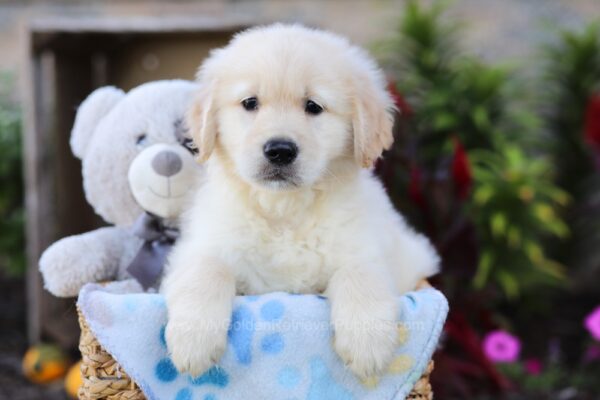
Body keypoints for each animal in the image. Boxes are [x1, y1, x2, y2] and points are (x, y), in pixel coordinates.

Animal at [162, 23, 438, 380]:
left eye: (313, 106)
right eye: (250, 102)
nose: (280, 150)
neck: (284, 209)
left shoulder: (366, 246)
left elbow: (360, 273)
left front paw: (367, 342)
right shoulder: (200, 246)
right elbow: (206, 269)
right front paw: (192, 340)